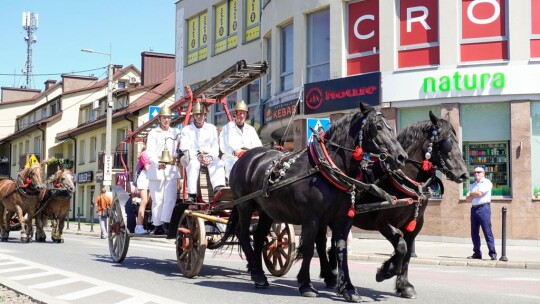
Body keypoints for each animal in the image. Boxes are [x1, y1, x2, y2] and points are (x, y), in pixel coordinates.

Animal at [221, 103, 408, 302]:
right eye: (378, 127)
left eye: (389, 127)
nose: (401, 157)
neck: (327, 169)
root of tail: (246, 157)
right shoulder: (311, 218)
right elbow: (310, 249)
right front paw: (306, 284)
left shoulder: (343, 218)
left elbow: (341, 249)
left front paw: (348, 288)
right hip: (245, 205)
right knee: (243, 234)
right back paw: (256, 272)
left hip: (266, 211)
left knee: (258, 236)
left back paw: (258, 274)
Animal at [318, 110, 470, 298]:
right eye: (446, 142)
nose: (464, 174)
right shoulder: (384, 223)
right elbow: (402, 247)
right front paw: (386, 271)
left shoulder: (415, 225)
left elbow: (407, 254)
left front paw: (404, 285)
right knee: (321, 242)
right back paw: (329, 275)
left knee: (335, 243)